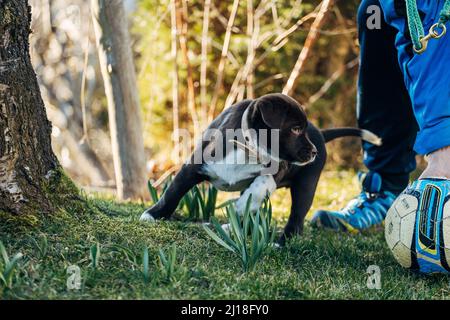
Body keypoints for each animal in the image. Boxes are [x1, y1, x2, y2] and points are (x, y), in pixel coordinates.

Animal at [141, 94, 380, 244]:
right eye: (295, 129)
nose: (313, 152)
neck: (248, 148)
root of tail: (321, 134)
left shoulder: (276, 170)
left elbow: (257, 189)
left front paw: (239, 207)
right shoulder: (194, 166)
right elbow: (173, 192)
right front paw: (153, 215)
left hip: (306, 185)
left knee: (296, 219)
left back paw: (279, 242)